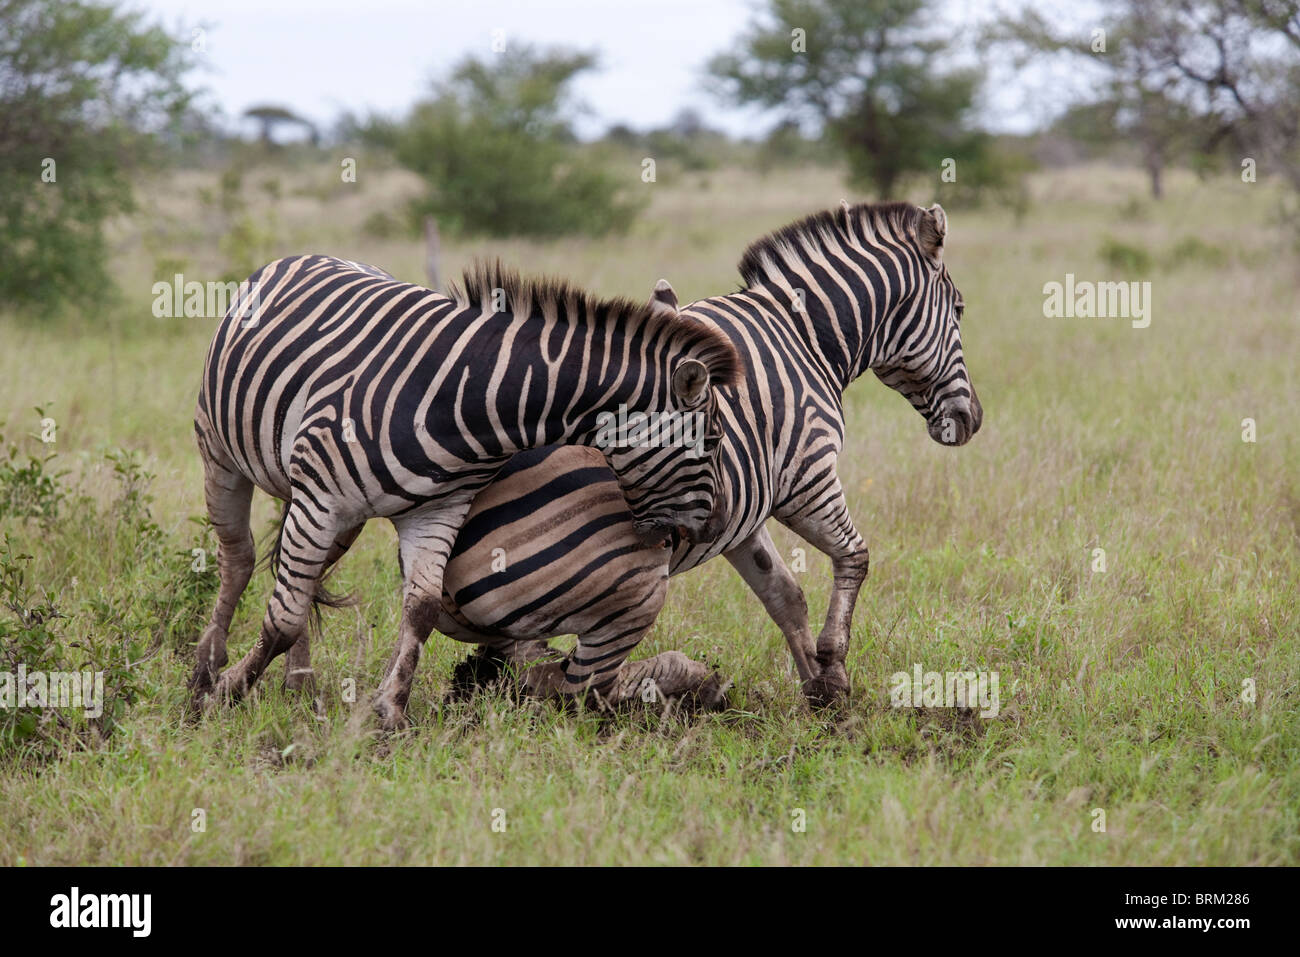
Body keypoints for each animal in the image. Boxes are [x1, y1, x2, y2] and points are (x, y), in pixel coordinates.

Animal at [192, 250, 743, 728]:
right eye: (714, 440)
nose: (719, 524)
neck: (472, 407)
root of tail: (310, 255)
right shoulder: (323, 500)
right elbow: (282, 619)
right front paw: (228, 690)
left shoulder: (438, 509)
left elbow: (420, 610)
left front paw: (390, 714)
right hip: (224, 453)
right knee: (239, 559)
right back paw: (206, 671)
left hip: (325, 506)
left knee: (299, 578)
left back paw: (298, 685)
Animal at [284, 204, 977, 712]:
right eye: (962, 309)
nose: (969, 422)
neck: (804, 337)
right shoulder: (807, 477)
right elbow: (854, 556)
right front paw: (832, 666)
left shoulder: (738, 513)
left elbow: (784, 595)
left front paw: (819, 688)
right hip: (635, 581)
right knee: (576, 688)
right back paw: (692, 681)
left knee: (538, 674)